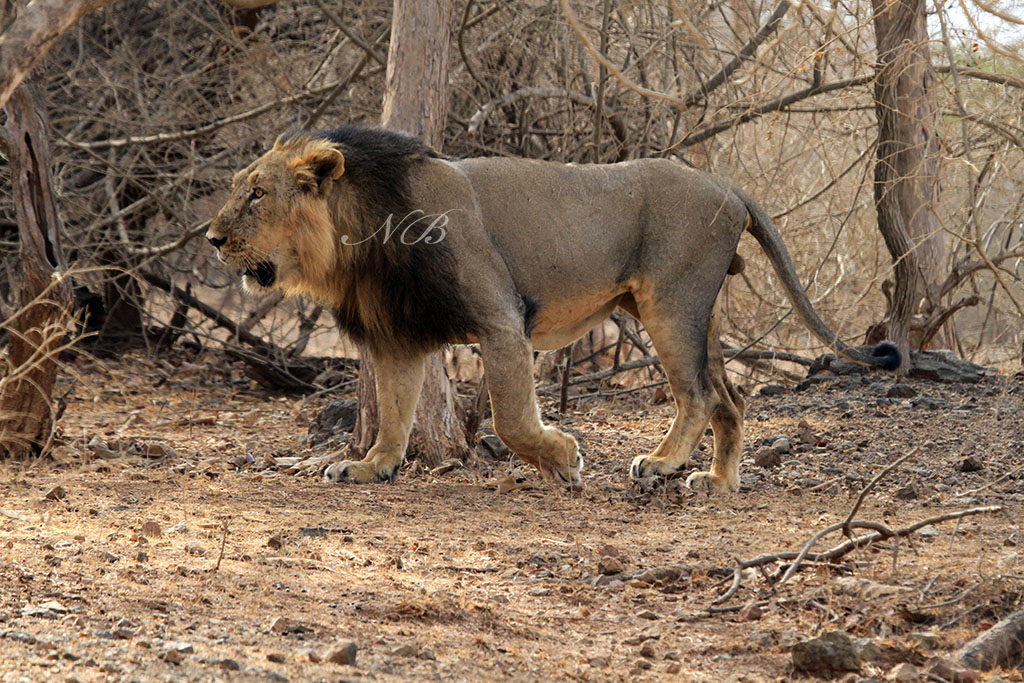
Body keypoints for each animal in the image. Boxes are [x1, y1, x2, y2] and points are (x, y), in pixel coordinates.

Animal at [207, 125, 897, 493]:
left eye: (257, 194)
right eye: (239, 189)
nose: (211, 239)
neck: (361, 237)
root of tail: (726, 184)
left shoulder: (501, 318)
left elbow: (512, 419)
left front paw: (564, 460)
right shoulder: (398, 334)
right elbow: (395, 415)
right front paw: (369, 467)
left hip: (671, 304)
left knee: (700, 395)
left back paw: (662, 462)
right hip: (700, 313)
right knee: (732, 398)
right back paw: (717, 481)